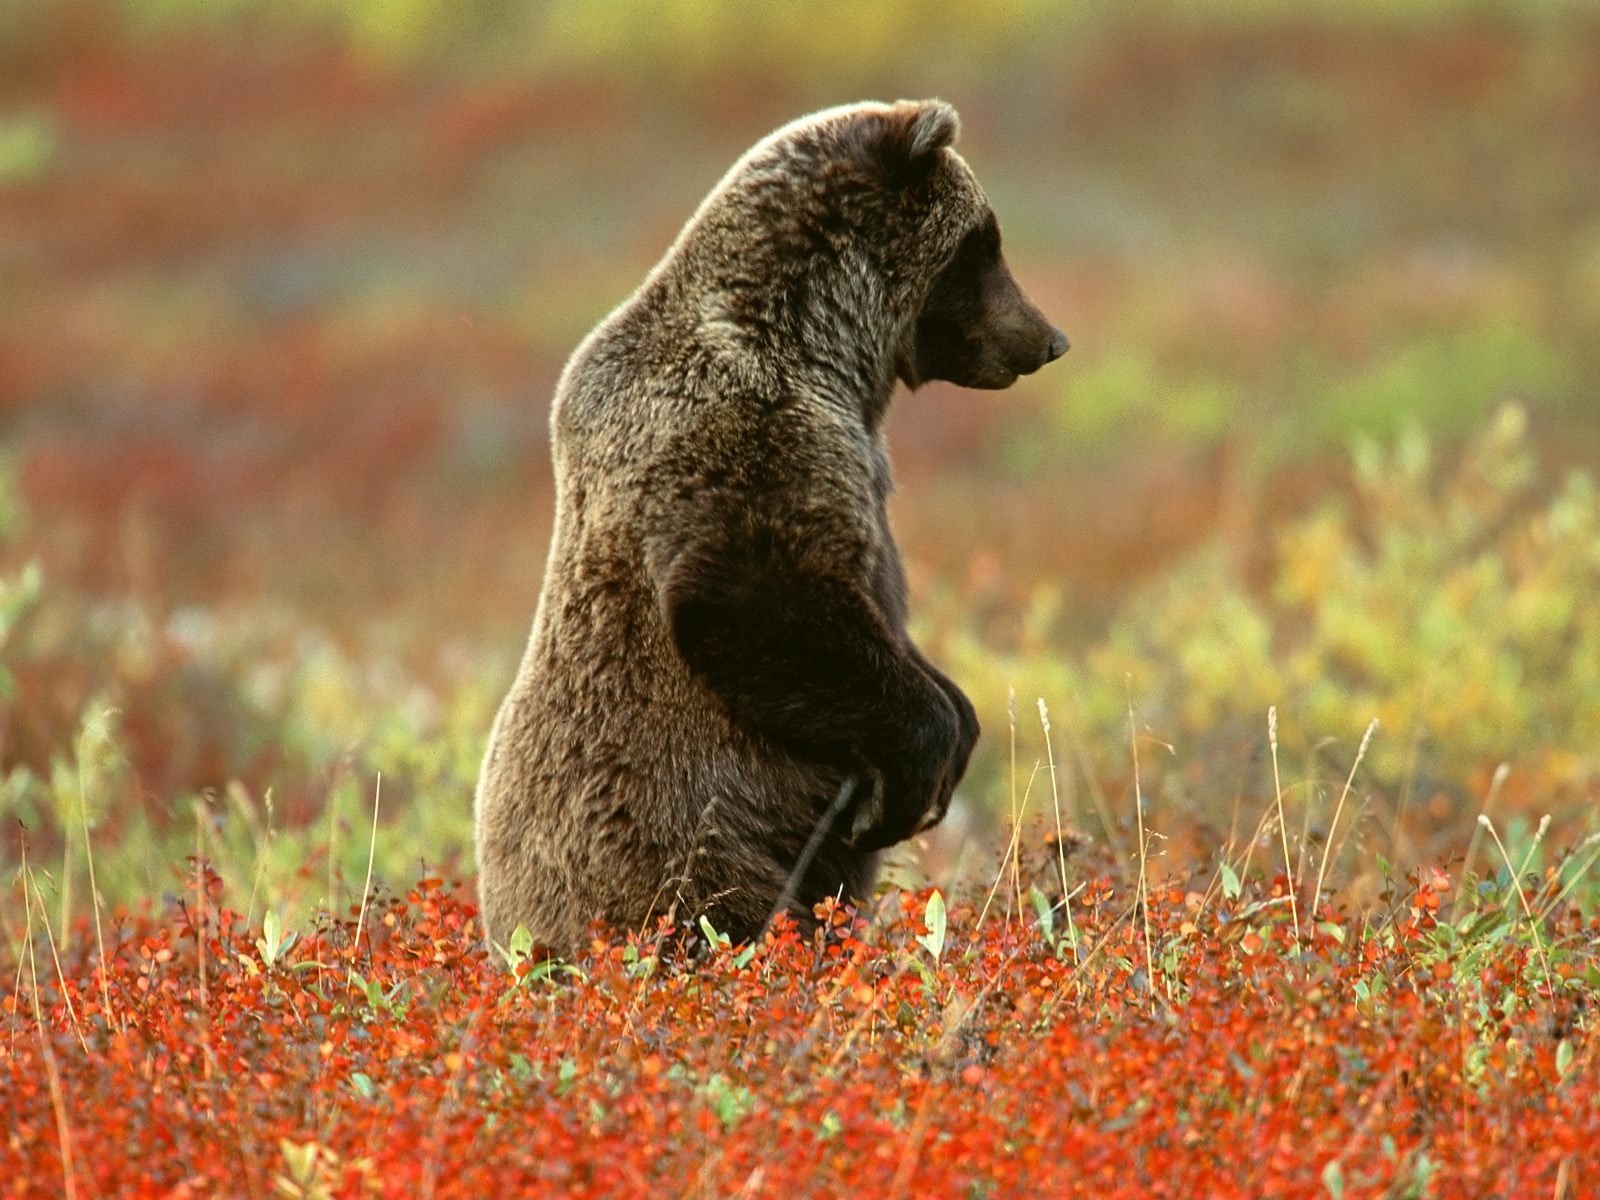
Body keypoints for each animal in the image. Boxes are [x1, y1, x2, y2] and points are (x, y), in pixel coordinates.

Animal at [480, 98, 1068, 953]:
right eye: (982, 245)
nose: (1048, 339)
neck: (825, 351)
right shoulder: (745, 436)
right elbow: (751, 595)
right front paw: (917, 773)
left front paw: (959, 721)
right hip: (688, 843)